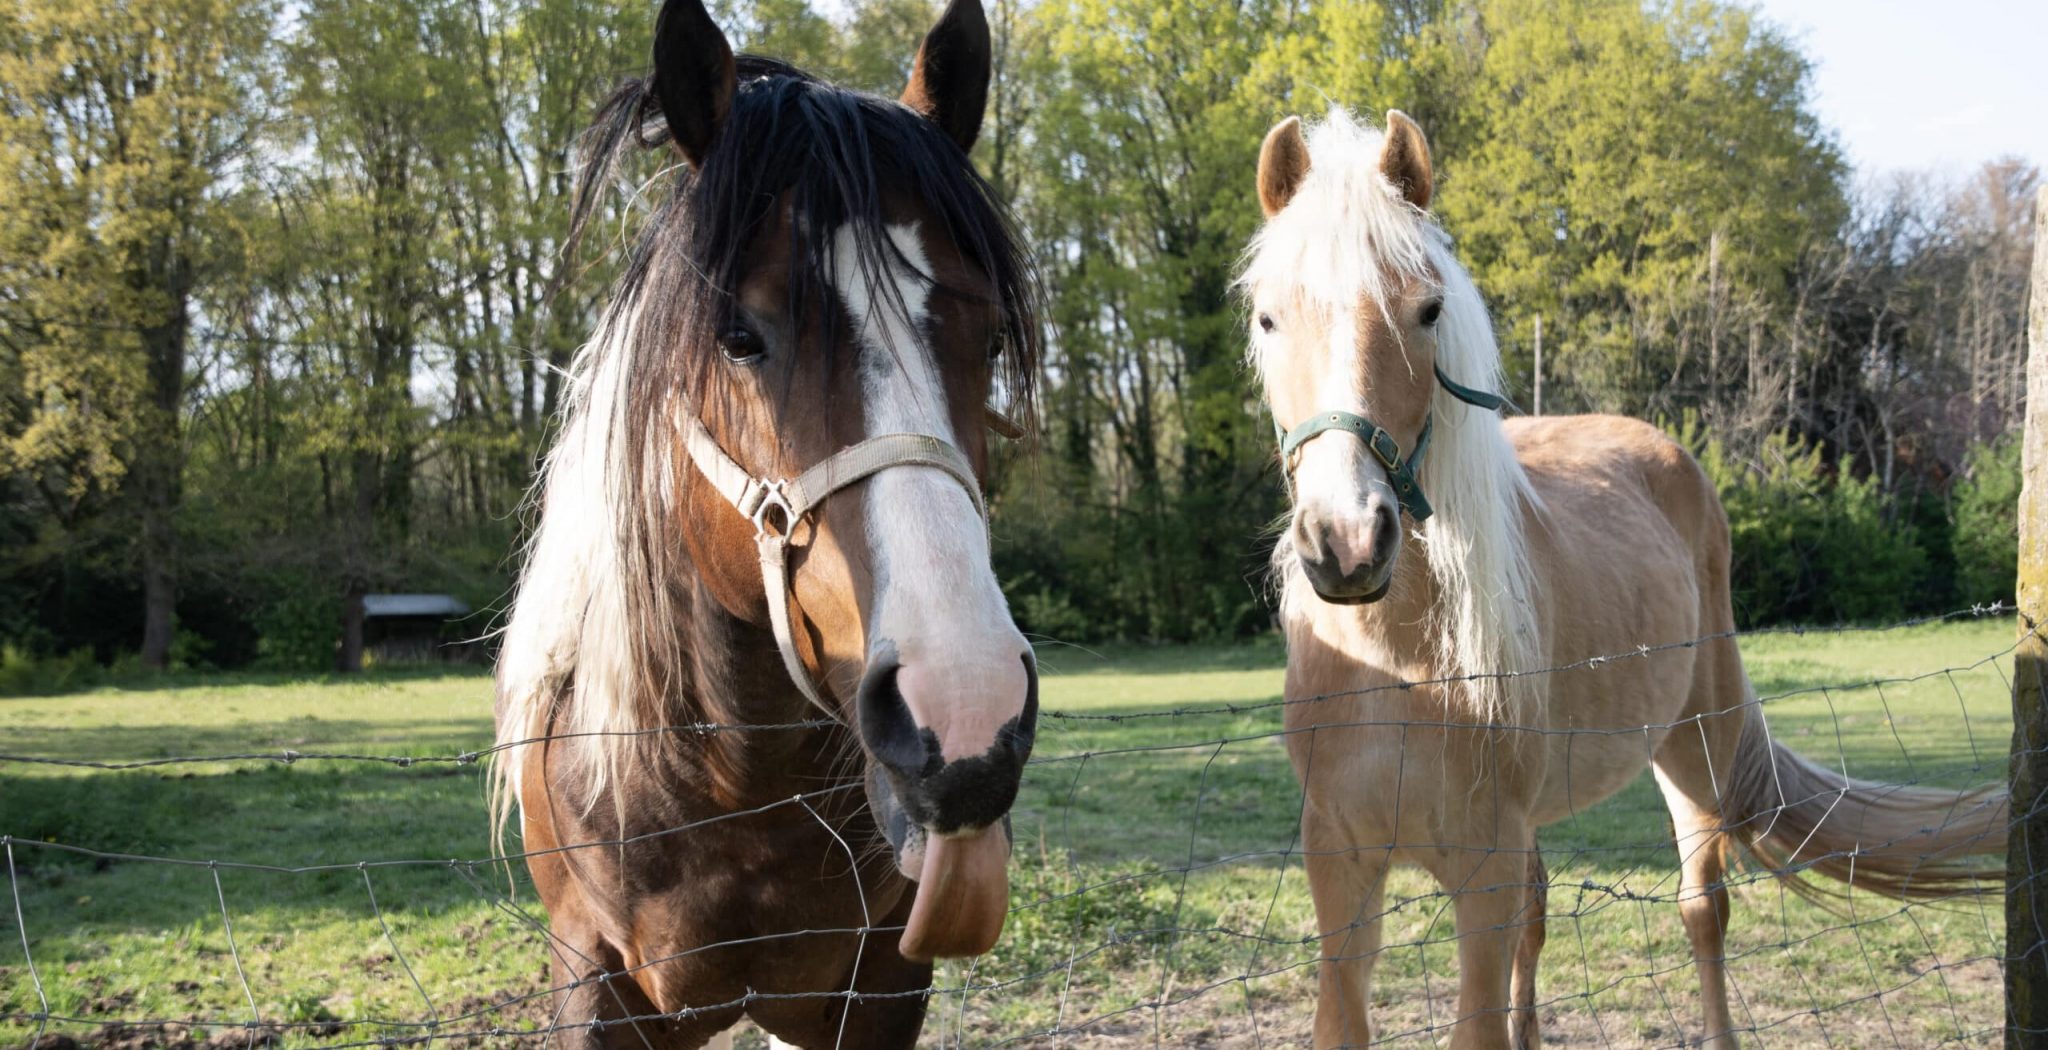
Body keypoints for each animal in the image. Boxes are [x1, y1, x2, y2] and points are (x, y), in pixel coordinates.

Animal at [491, 0, 1040, 1039]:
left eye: (989, 338)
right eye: (738, 337)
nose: (965, 711)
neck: (727, 789)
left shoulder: (879, 980)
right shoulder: (590, 977)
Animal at [1236, 108, 2007, 1047]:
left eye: (1428, 310)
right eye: (1268, 318)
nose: (1347, 542)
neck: (1396, 666)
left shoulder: (1483, 873)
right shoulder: (1339, 868)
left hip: (1695, 750)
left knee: (1703, 910)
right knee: (1545, 918)